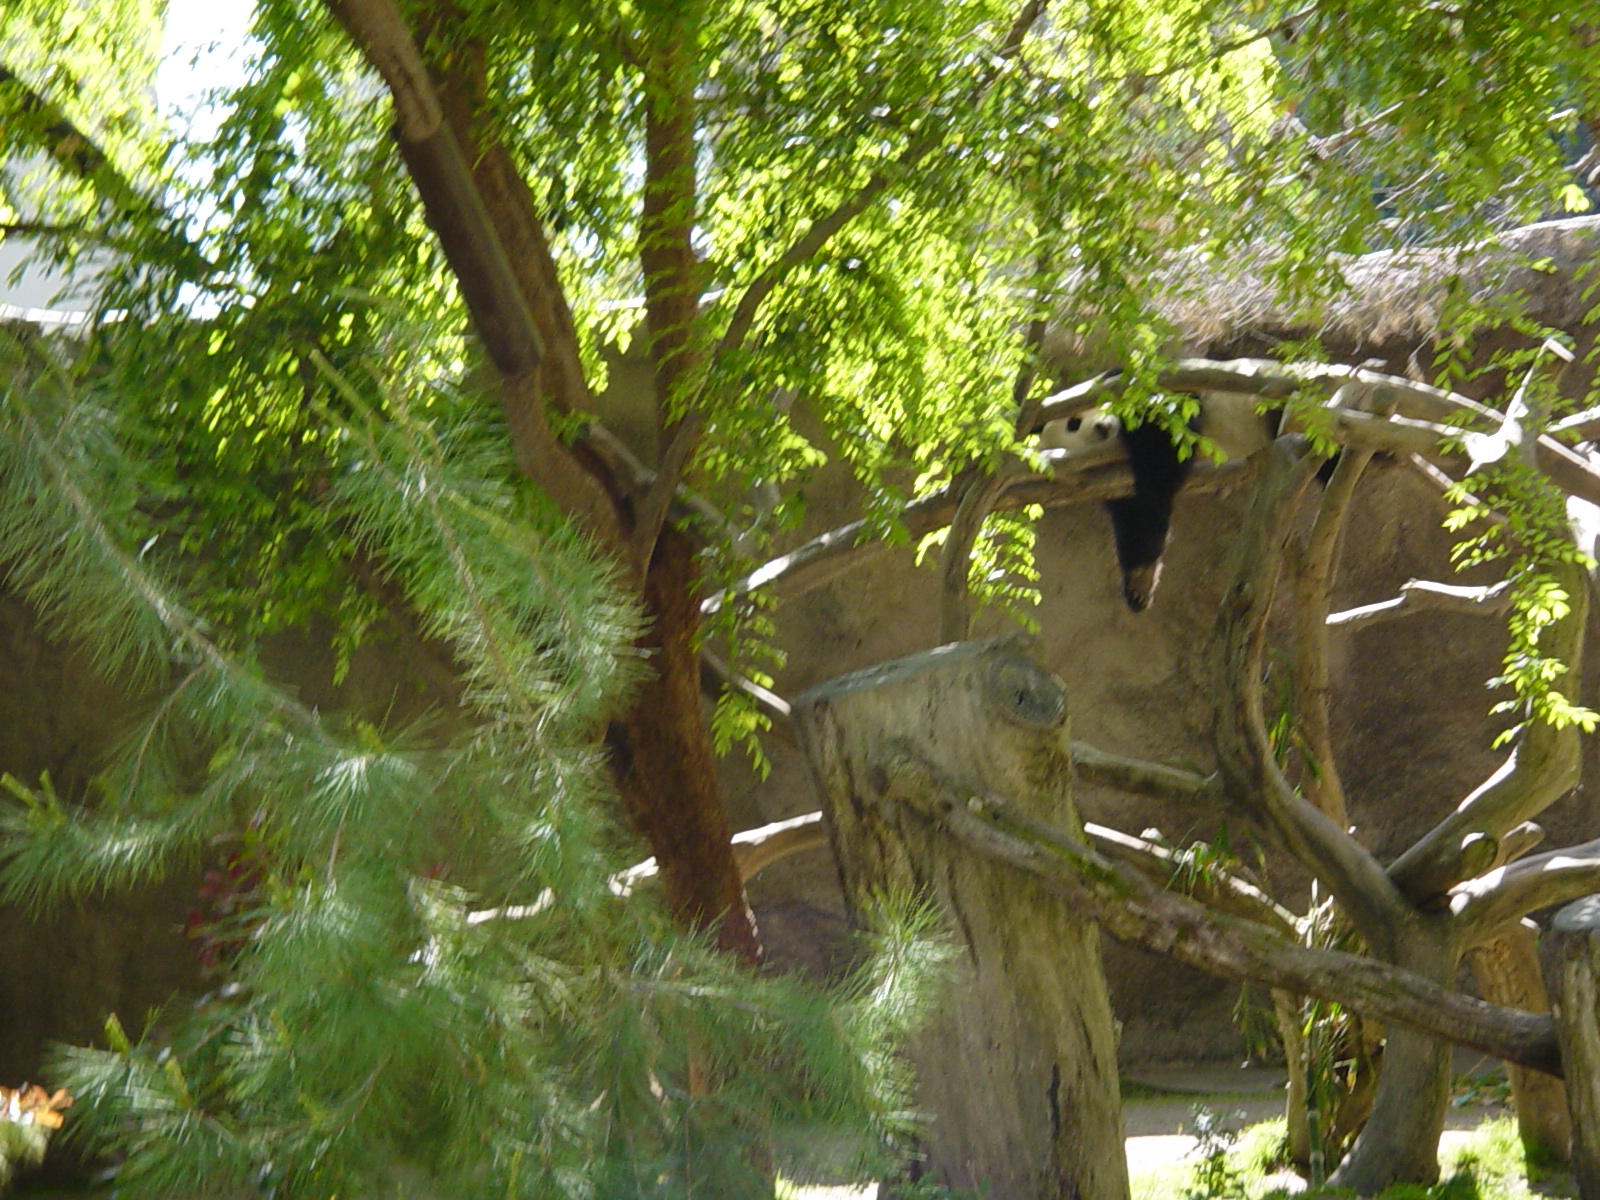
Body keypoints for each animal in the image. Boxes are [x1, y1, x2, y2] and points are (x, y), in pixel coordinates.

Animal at [1038, 393, 1282, 612]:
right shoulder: (1115, 481)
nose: (1101, 427)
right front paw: (1139, 583)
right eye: (1073, 426)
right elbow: (1138, 515)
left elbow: (1162, 447)